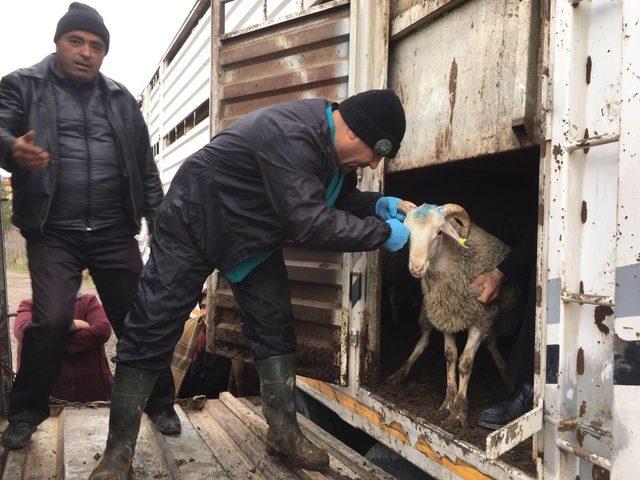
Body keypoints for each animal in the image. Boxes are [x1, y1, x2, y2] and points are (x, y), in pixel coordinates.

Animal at [388, 202, 524, 428]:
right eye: (408, 231)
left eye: (439, 233)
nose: (416, 268)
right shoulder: (447, 316)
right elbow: (450, 356)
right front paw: (448, 402)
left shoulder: (479, 317)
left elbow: (465, 363)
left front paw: (459, 412)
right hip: (429, 311)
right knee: (424, 340)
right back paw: (401, 372)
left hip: (498, 316)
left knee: (491, 342)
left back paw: (507, 375)